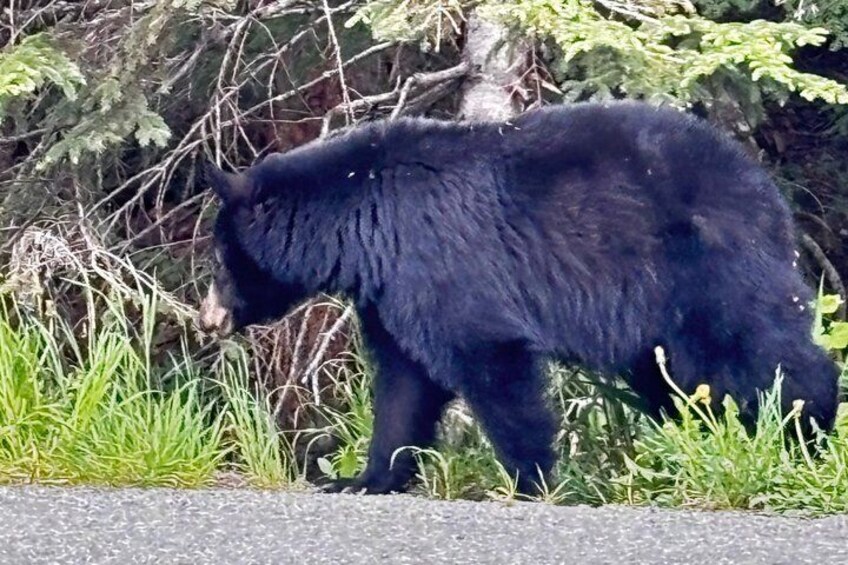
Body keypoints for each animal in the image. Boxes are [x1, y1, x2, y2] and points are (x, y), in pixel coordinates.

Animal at [198, 101, 840, 495]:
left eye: (220, 260)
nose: (208, 319)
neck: (362, 216)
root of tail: (764, 186)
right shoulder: (392, 290)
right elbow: (405, 382)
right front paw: (364, 477)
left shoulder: (439, 262)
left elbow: (490, 362)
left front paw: (534, 482)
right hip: (663, 321)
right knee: (680, 379)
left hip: (707, 268)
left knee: (763, 349)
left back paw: (810, 437)